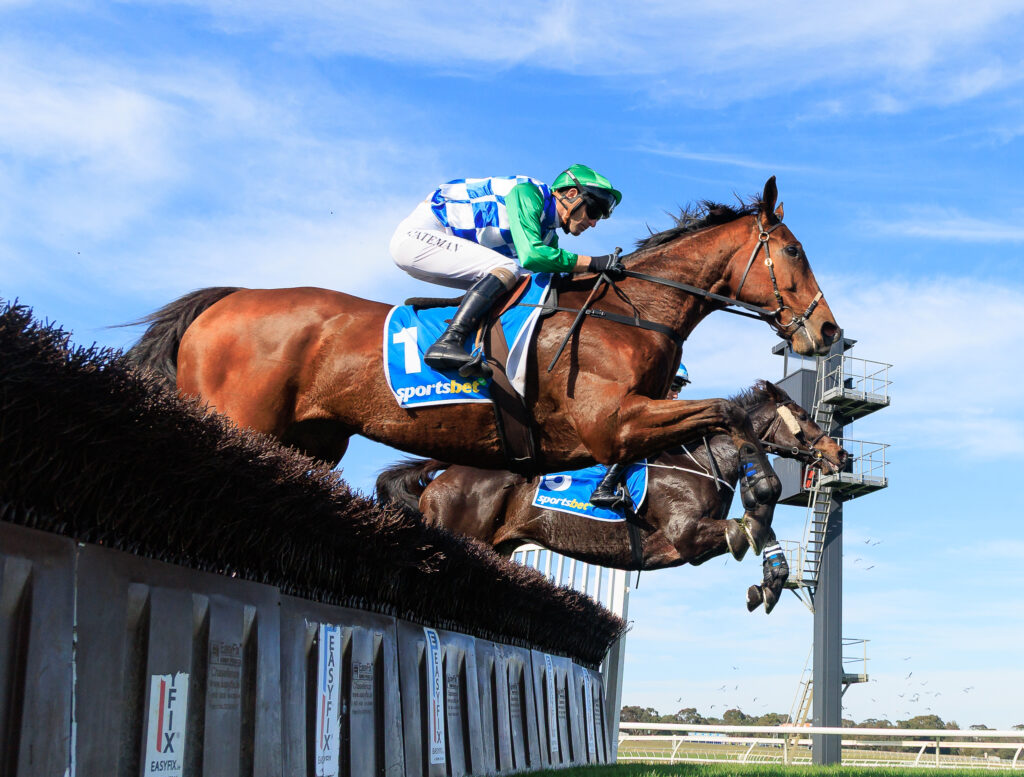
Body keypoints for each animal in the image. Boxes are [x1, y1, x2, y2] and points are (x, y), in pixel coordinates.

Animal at [127, 178, 839, 538]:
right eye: (795, 251)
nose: (827, 330)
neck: (632, 311)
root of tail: (226, 299)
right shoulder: (611, 420)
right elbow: (729, 412)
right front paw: (763, 491)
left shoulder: (632, 422)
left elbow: (722, 419)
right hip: (239, 420)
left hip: (308, 442)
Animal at [375, 380, 847, 613]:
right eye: (804, 416)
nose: (840, 453)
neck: (700, 461)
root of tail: (443, 474)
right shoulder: (687, 536)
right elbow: (749, 527)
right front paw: (765, 582)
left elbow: (762, 533)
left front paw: (770, 584)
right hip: (456, 535)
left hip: (496, 548)